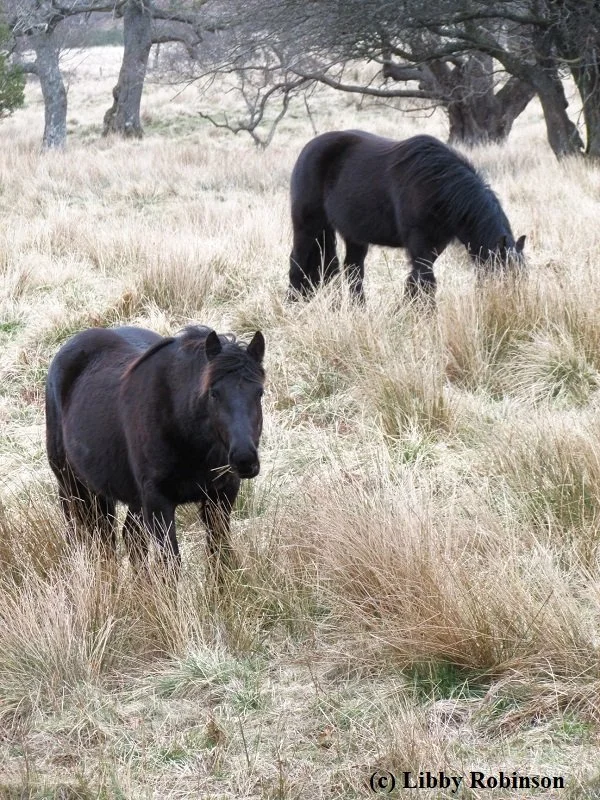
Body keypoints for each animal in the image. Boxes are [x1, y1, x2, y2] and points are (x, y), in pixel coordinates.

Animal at [45, 325, 266, 575]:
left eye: (259, 392)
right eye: (213, 393)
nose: (244, 459)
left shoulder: (221, 496)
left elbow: (221, 554)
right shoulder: (158, 502)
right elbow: (170, 564)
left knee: (130, 537)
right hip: (73, 487)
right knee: (93, 539)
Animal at [287, 130, 526, 302]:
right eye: (503, 277)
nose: (513, 307)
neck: (437, 185)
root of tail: (309, 149)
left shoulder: (435, 245)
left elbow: (415, 281)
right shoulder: (419, 241)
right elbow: (426, 282)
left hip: (354, 235)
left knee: (353, 271)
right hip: (307, 227)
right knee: (297, 263)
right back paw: (293, 306)